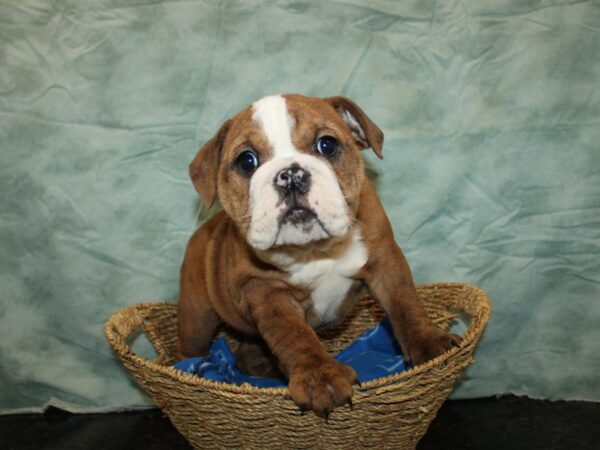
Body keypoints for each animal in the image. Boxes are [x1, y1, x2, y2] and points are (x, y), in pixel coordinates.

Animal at [178, 94, 460, 418]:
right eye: (246, 161)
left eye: (327, 145)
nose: (290, 175)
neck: (314, 249)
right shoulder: (266, 292)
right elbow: (295, 336)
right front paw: (320, 377)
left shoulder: (385, 260)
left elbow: (406, 304)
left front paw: (429, 343)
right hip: (196, 318)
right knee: (192, 347)